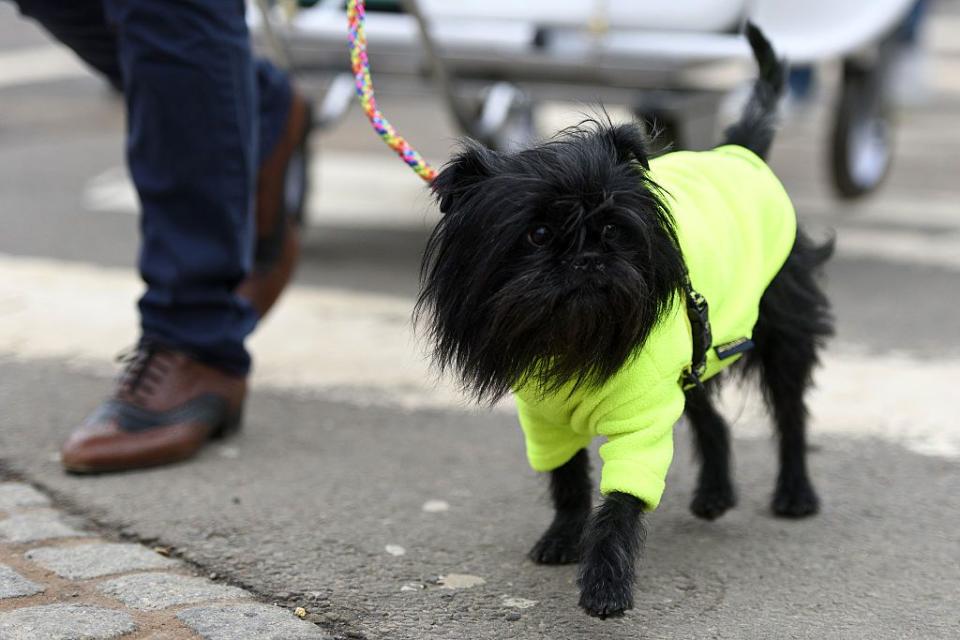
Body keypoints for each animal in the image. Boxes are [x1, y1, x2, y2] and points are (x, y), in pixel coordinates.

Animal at [418, 26, 832, 620]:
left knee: (791, 414)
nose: (589, 258)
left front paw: (605, 583)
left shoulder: (643, 419)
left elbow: (619, 504)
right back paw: (715, 494)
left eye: (614, 230)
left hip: (778, 334)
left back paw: (795, 494)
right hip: (696, 354)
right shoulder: (544, 419)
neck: (574, 337)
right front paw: (562, 538)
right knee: (713, 420)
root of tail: (741, 151)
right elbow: (568, 480)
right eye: (537, 235)